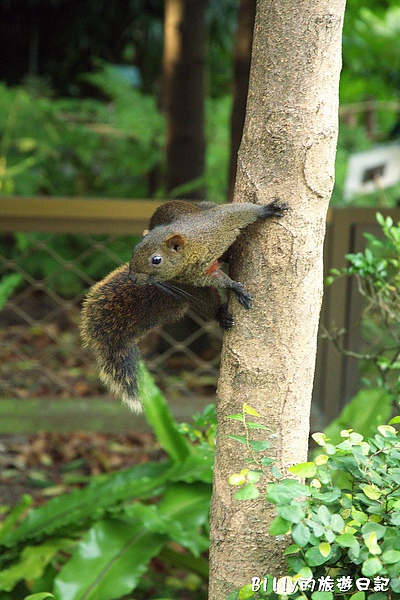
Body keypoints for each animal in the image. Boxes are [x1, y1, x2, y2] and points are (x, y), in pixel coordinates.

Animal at [80, 198, 288, 412]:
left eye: (156, 260)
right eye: (134, 250)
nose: (132, 277)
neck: (192, 249)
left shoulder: (216, 224)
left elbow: (239, 211)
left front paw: (267, 210)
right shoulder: (194, 277)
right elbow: (217, 280)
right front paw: (236, 288)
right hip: (195, 294)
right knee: (208, 303)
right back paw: (220, 315)